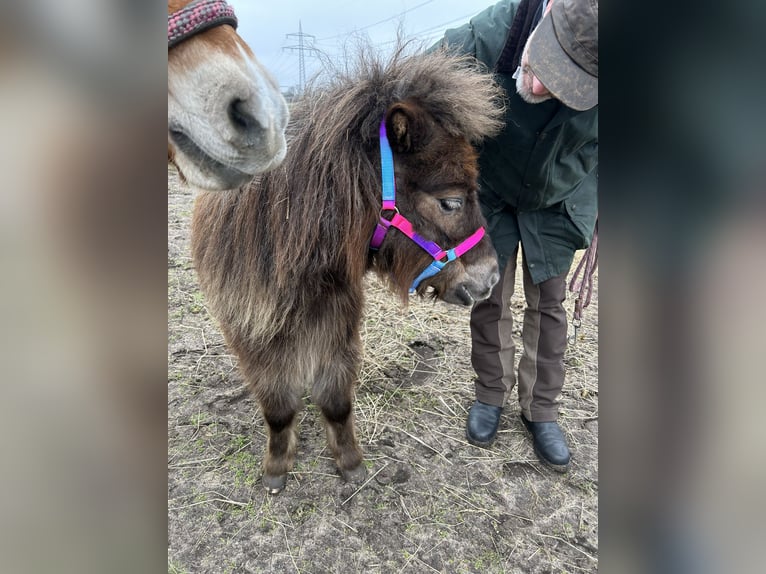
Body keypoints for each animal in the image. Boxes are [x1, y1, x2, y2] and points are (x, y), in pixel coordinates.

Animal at [190, 45, 508, 496]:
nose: (491, 278)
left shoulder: (338, 330)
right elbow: (278, 408)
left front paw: (350, 463)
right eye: (450, 202)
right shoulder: (255, 341)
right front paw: (277, 468)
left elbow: (336, 402)